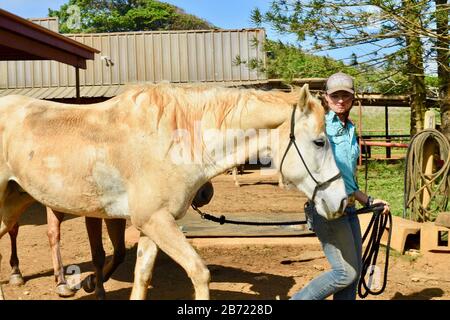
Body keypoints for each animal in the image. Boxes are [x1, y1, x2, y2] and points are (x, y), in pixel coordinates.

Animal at [0, 83, 348, 300]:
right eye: (320, 141)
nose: (341, 201)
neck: (169, 141)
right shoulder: (155, 221)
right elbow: (199, 272)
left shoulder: (151, 226)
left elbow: (141, 277)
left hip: (13, 204)